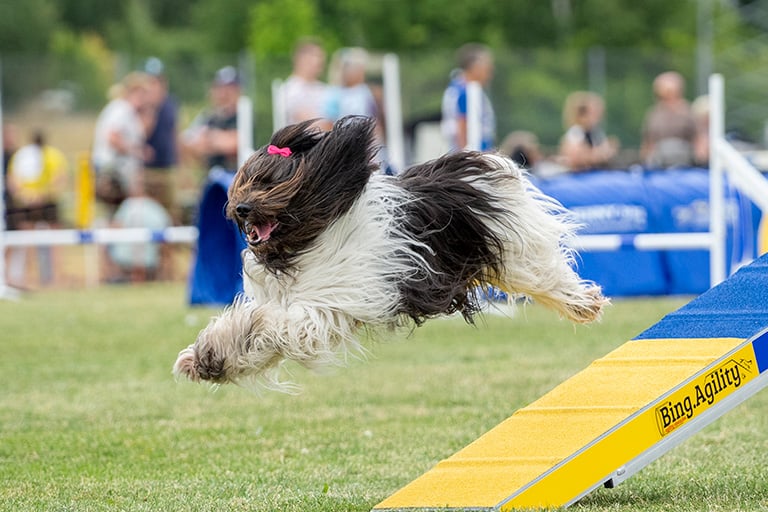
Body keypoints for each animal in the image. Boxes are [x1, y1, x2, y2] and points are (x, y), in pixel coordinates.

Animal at [172, 115, 608, 388]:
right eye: (245, 180)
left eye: (272, 182)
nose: (241, 208)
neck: (308, 238)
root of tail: (472, 166)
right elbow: (248, 331)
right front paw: (205, 360)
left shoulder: (326, 304)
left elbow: (271, 325)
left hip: (516, 247)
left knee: (545, 275)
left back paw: (583, 303)